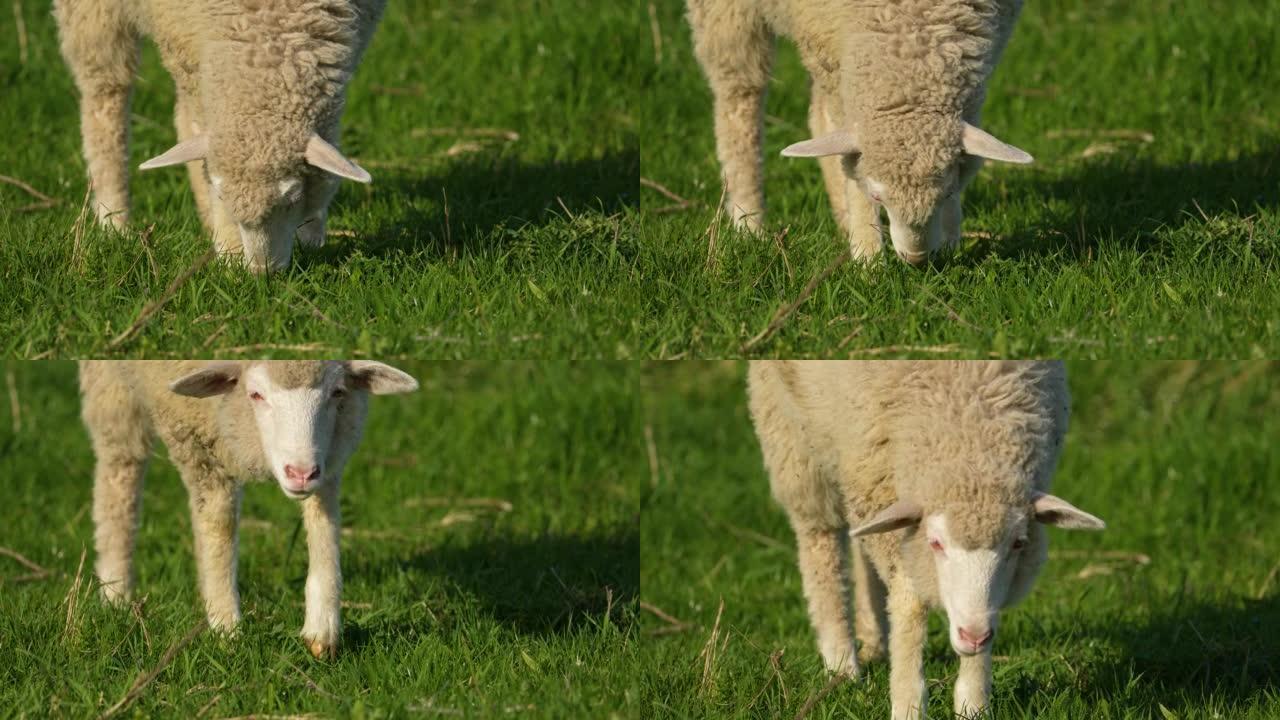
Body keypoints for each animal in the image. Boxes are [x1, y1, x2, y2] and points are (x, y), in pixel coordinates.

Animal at [55, 0, 384, 271]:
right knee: (106, 96)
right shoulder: (186, 43)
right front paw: (230, 252)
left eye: (293, 199)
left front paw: (311, 235)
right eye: (223, 195)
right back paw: (115, 222)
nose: (263, 274)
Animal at [80, 358, 417, 655]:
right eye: (255, 394)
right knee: (120, 476)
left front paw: (322, 629)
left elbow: (325, 519)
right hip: (112, 388)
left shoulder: (330, 458)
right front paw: (227, 630)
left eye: (337, 392)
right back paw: (115, 595)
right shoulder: (199, 441)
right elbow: (220, 527)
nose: (301, 473)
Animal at [691, 0, 1029, 263]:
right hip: (730, 17)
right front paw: (869, 258)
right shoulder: (829, 46)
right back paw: (748, 224)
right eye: (878, 197)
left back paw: (842, 220)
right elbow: (851, 165)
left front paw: (950, 239)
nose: (916, 259)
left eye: (947, 192)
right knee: (739, 97)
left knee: (817, 115)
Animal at [747, 361, 1105, 712]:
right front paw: (908, 704)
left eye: (1018, 543)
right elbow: (910, 602)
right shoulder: (882, 485)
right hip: (791, 430)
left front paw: (973, 704)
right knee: (820, 541)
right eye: (936, 543)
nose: (974, 636)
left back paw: (874, 639)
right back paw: (842, 665)